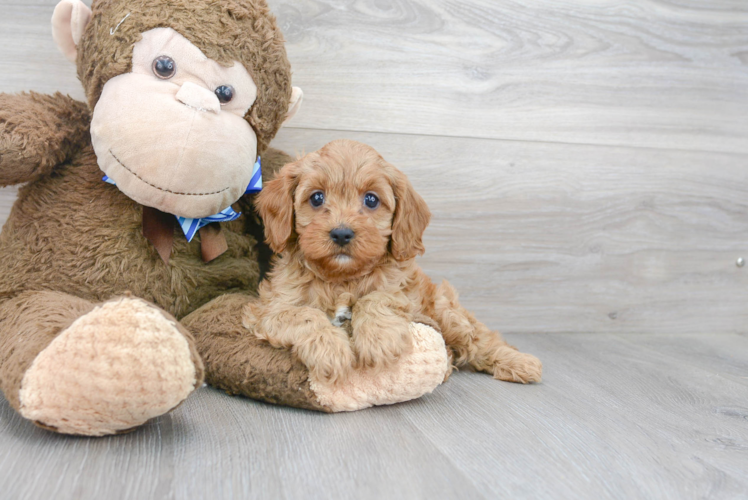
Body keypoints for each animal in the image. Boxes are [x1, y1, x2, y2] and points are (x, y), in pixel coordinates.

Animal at [248, 139, 540, 384]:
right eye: (317, 198)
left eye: (371, 200)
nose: (341, 233)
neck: (342, 278)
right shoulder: (270, 309)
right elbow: (305, 315)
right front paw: (329, 349)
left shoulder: (403, 292)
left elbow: (375, 298)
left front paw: (378, 339)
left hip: (447, 313)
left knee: (481, 339)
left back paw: (520, 363)